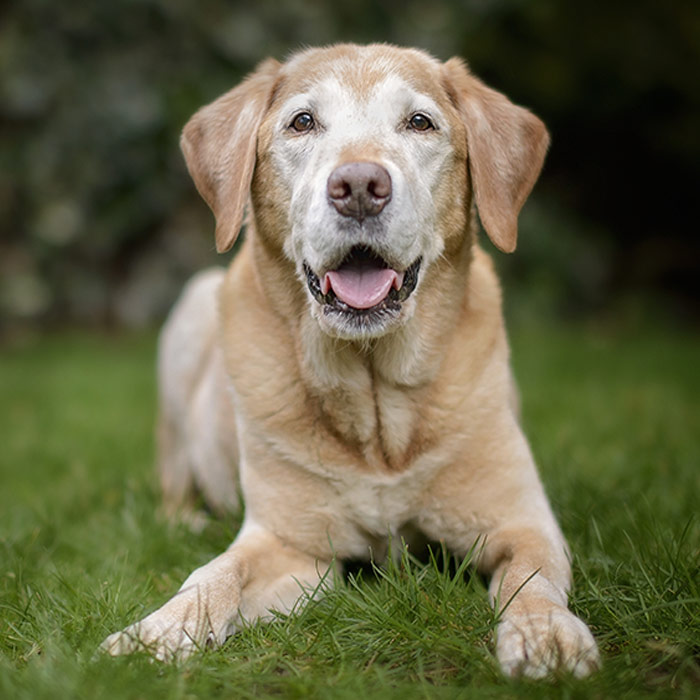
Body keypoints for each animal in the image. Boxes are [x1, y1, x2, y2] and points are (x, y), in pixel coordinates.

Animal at [102, 43, 600, 680]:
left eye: (420, 123)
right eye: (302, 122)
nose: (359, 185)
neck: (375, 399)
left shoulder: (523, 523)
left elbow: (531, 579)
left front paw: (546, 634)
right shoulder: (290, 544)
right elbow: (214, 575)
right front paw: (155, 632)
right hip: (191, 311)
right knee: (173, 481)